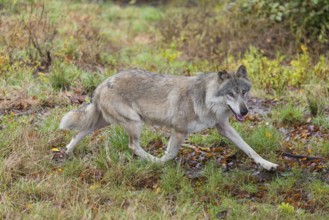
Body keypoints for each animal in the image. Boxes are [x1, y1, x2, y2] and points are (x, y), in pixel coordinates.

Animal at [59, 65, 276, 170]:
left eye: (243, 93)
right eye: (230, 94)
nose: (244, 112)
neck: (205, 99)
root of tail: (101, 84)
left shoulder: (224, 128)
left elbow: (249, 149)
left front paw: (267, 165)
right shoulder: (179, 131)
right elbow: (170, 155)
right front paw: (160, 163)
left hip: (101, 122)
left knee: (78, 133)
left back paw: (67, 152)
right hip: (134, 122)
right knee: (132, 146)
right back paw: (150, 159)